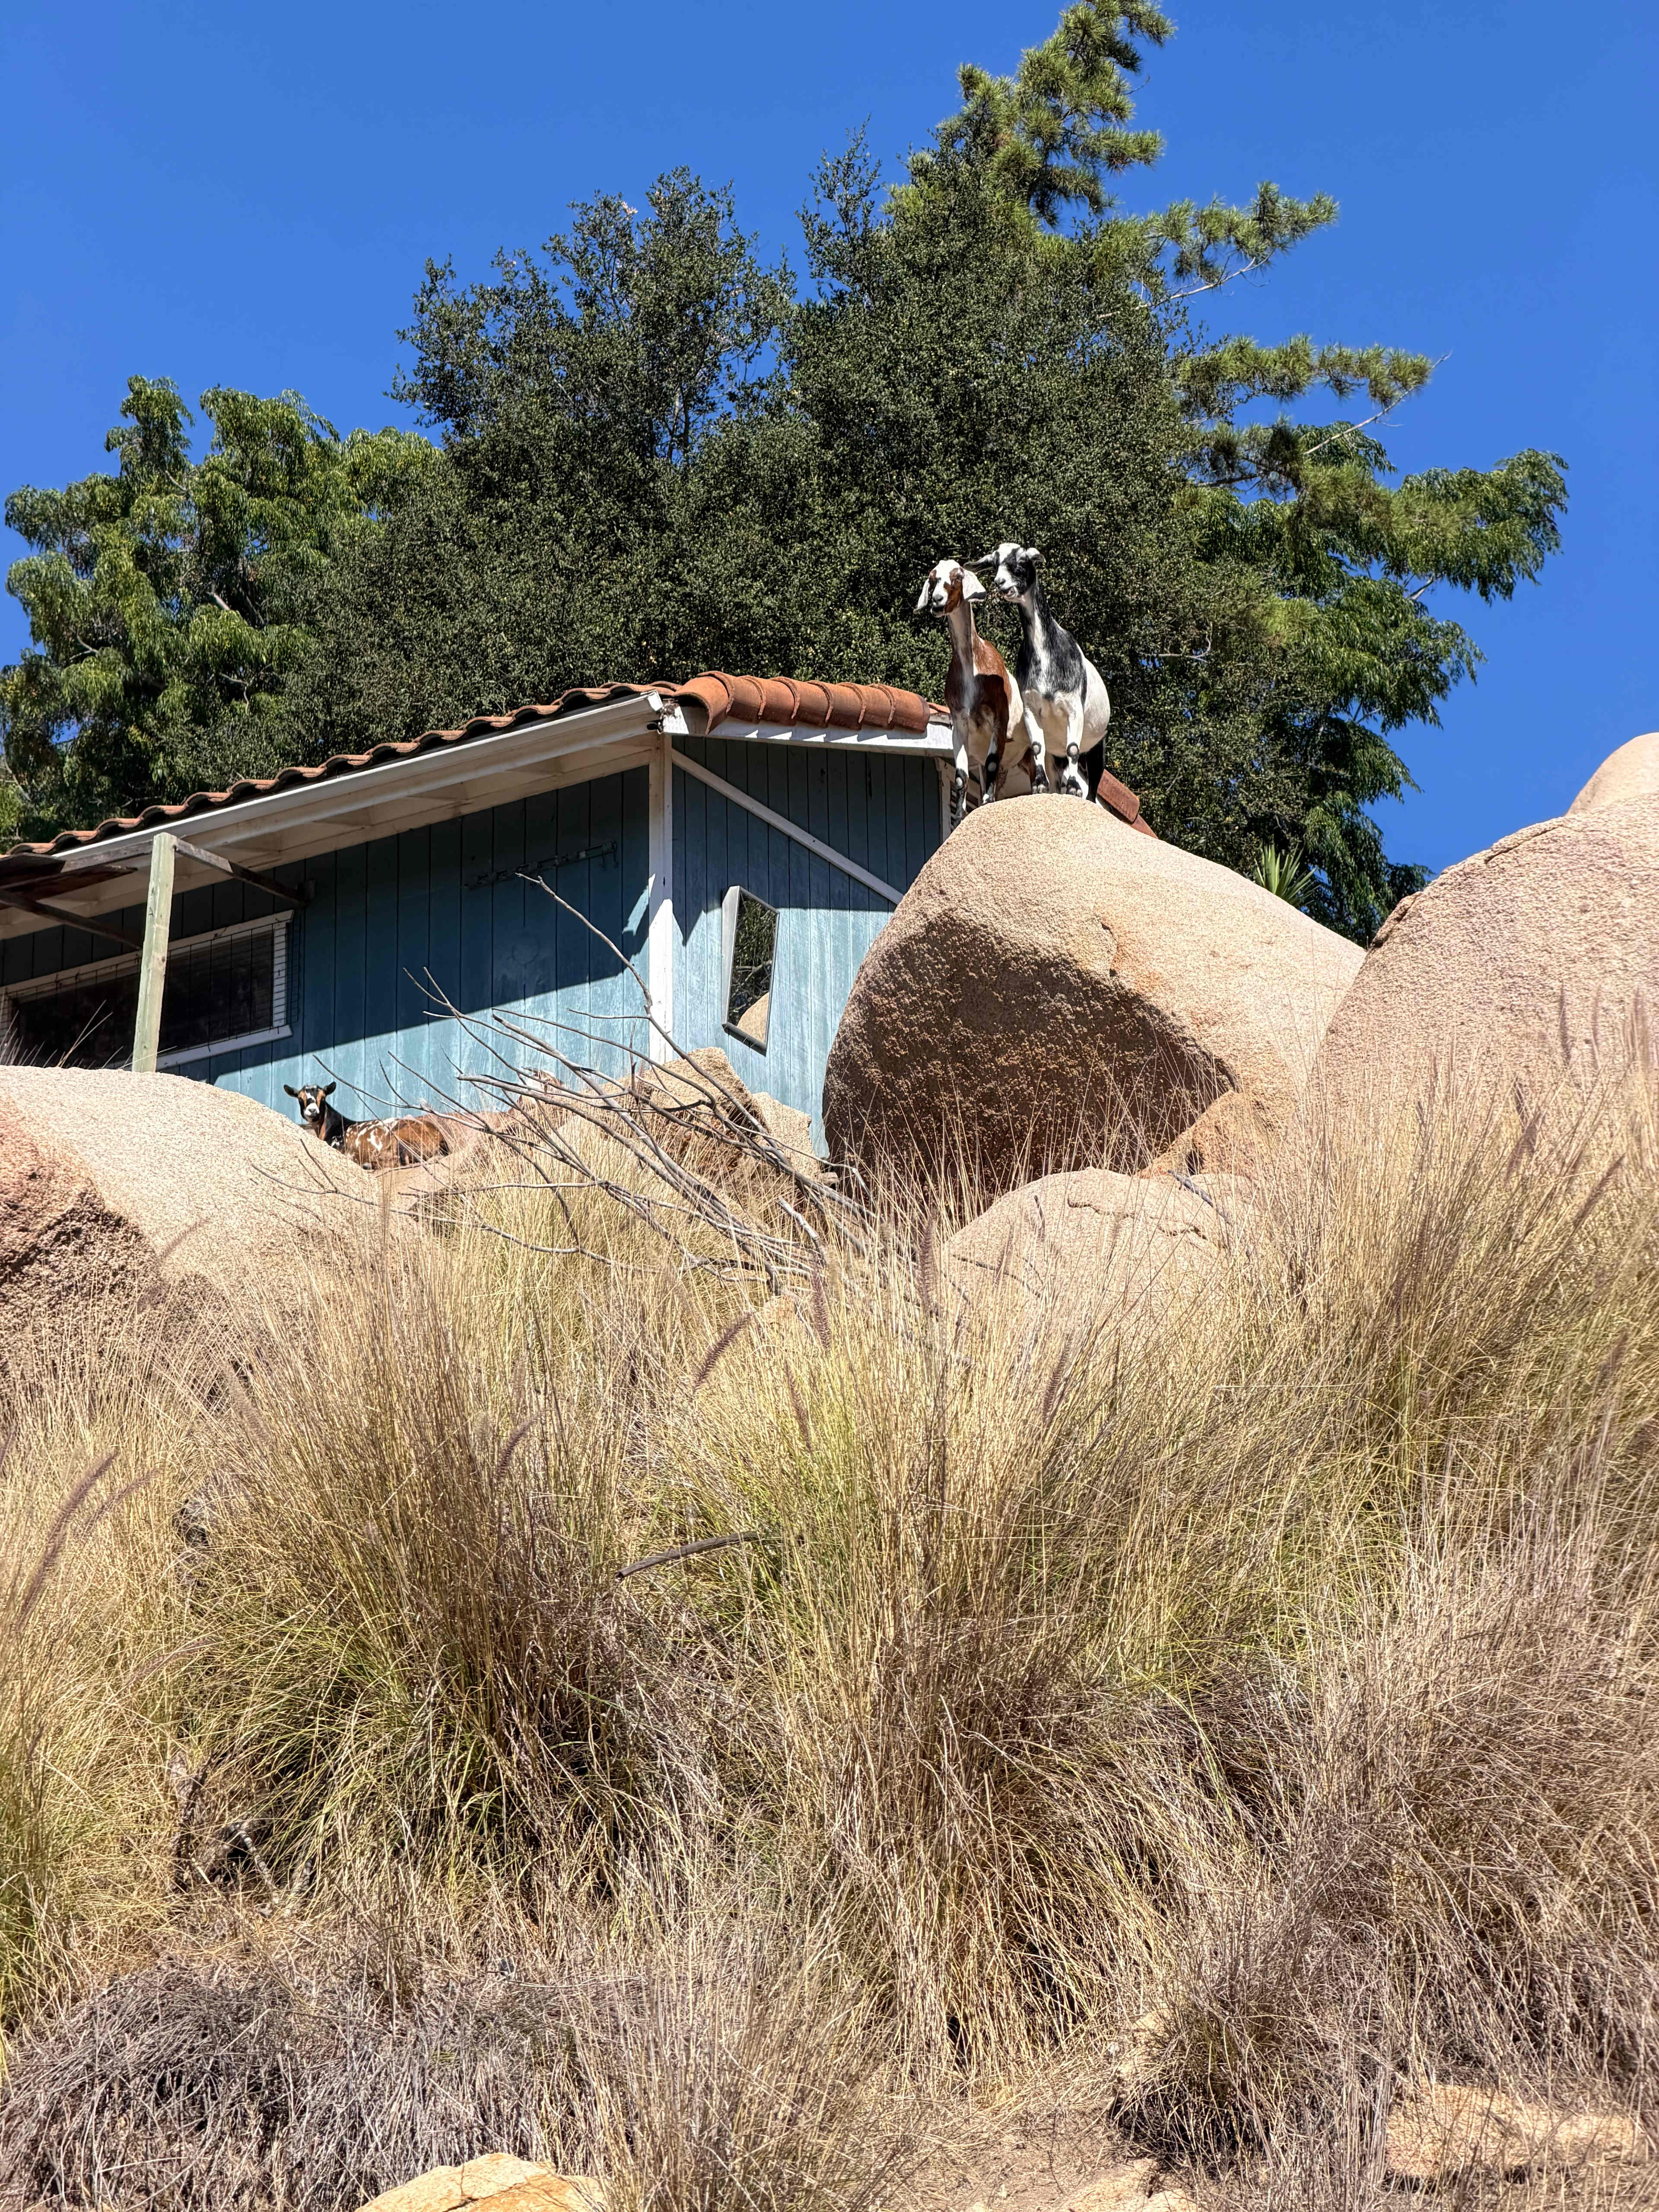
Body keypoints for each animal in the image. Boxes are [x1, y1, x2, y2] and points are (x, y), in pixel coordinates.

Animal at [284, 1080, 449, 1169]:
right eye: (300, 1099)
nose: (313, 1111)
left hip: (402, 1140)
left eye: (323, 1098)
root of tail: (439, 1137)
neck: (336, 1126)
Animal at [915, 557, 1033, 824]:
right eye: (933, 579)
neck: (974, 666)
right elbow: (961, 775)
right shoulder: (960, 722)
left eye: (958, 576)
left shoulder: (999, 719)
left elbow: (991, 764)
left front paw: (986, 805)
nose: (937, 601)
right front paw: (960, 818)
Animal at [975, 544, 1110, 800]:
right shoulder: (1031, 708)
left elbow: (1073, 748)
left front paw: (1074, 788)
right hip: (1055, 756)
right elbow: (1037, 747)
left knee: (1095, 779)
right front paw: (1039, 786)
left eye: (1021, 562)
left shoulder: (1074, 708)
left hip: (1096, 745)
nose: (1000, 582)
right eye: (995, 565)